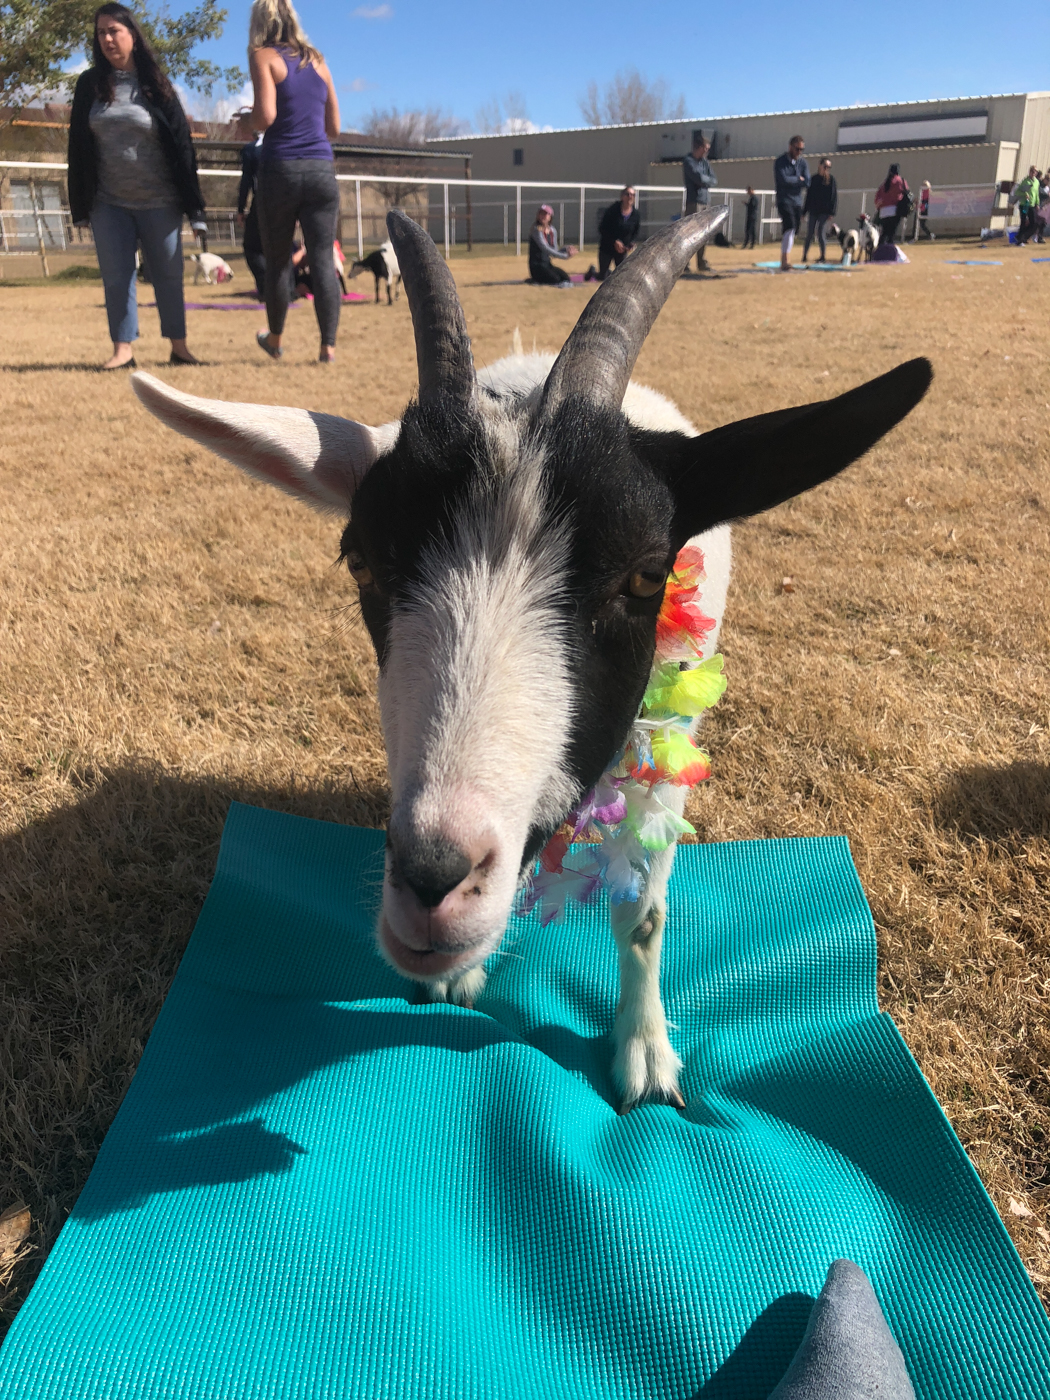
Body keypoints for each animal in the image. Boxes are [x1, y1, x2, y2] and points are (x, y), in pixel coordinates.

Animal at [129, 203, 929, 1108]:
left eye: (647, 573)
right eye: (361, 560)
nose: (432, 881)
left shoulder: (664, 757)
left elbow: (644, 915)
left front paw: (644, 1053)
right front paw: (459, 979)